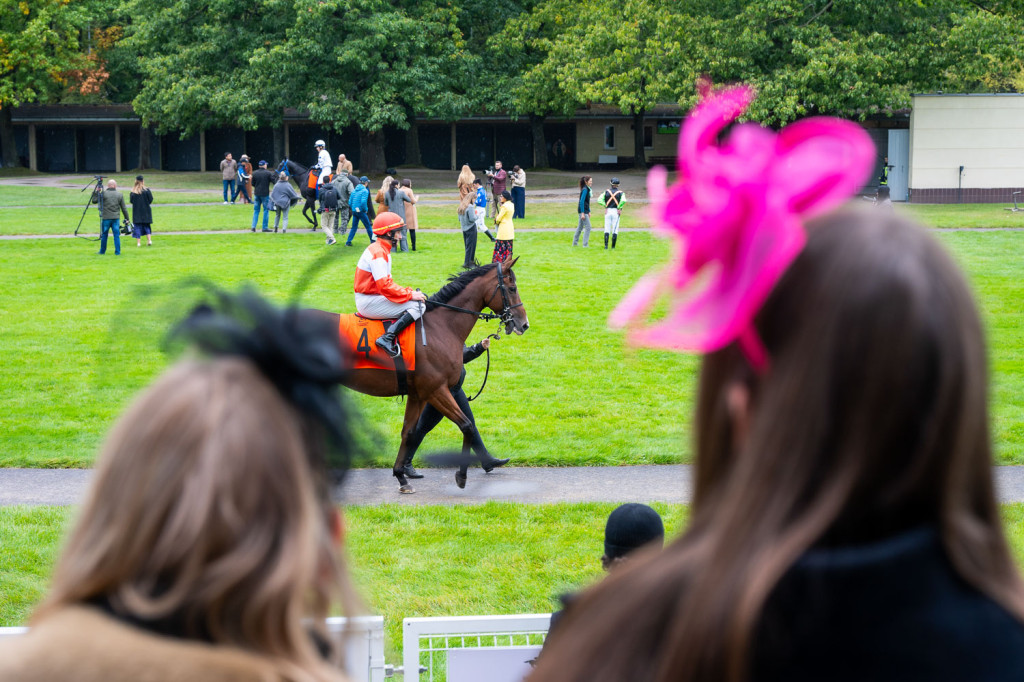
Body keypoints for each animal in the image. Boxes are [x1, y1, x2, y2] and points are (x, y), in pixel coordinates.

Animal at [303, 258, 528, 491]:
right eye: (512, 288)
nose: (524, 324)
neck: (440, 326)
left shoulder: (418, 395)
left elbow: (409, 433)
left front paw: (401, 476)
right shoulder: (436, 390)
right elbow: (466, 425)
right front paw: (461, 476)